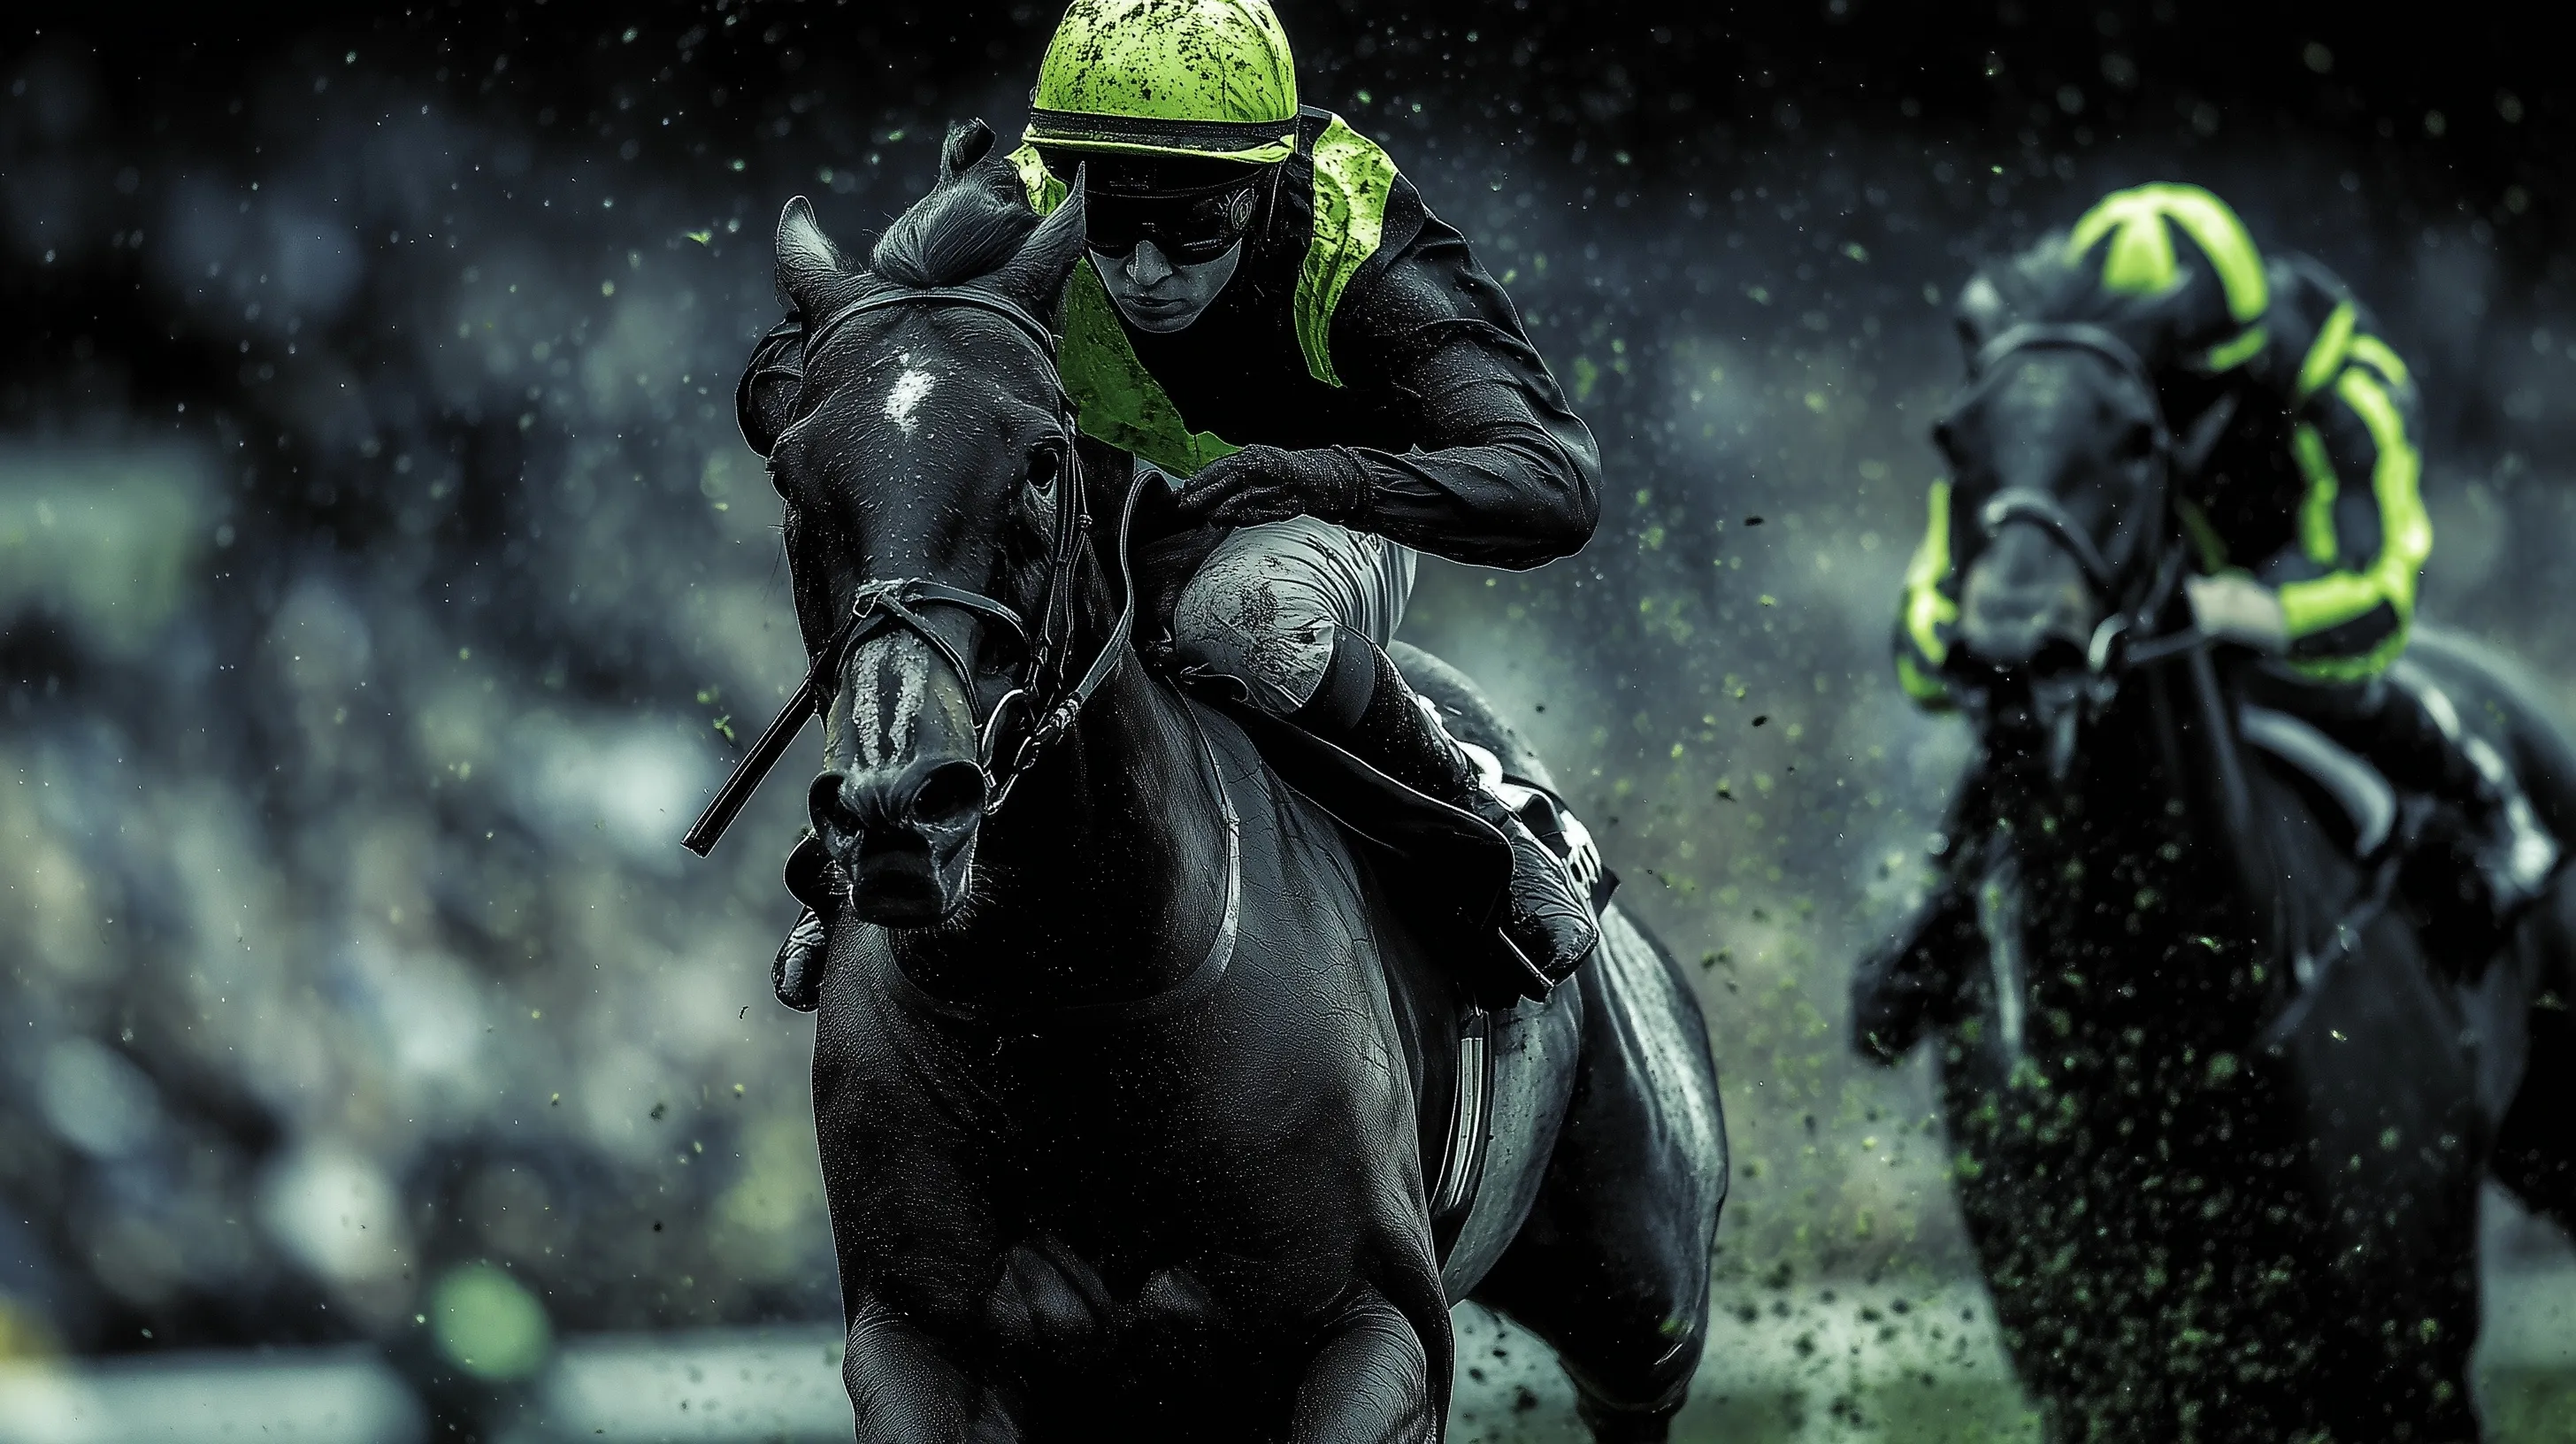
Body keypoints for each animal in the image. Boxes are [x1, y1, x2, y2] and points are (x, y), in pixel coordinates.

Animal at [712, 126, 1727, 1441]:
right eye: (793, 475)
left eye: (1043, 461)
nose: (901, 803)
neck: (1074, 997)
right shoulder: (917, 1339)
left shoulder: (1380, 1329)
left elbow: (1543, 461)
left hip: (1641, 1296)